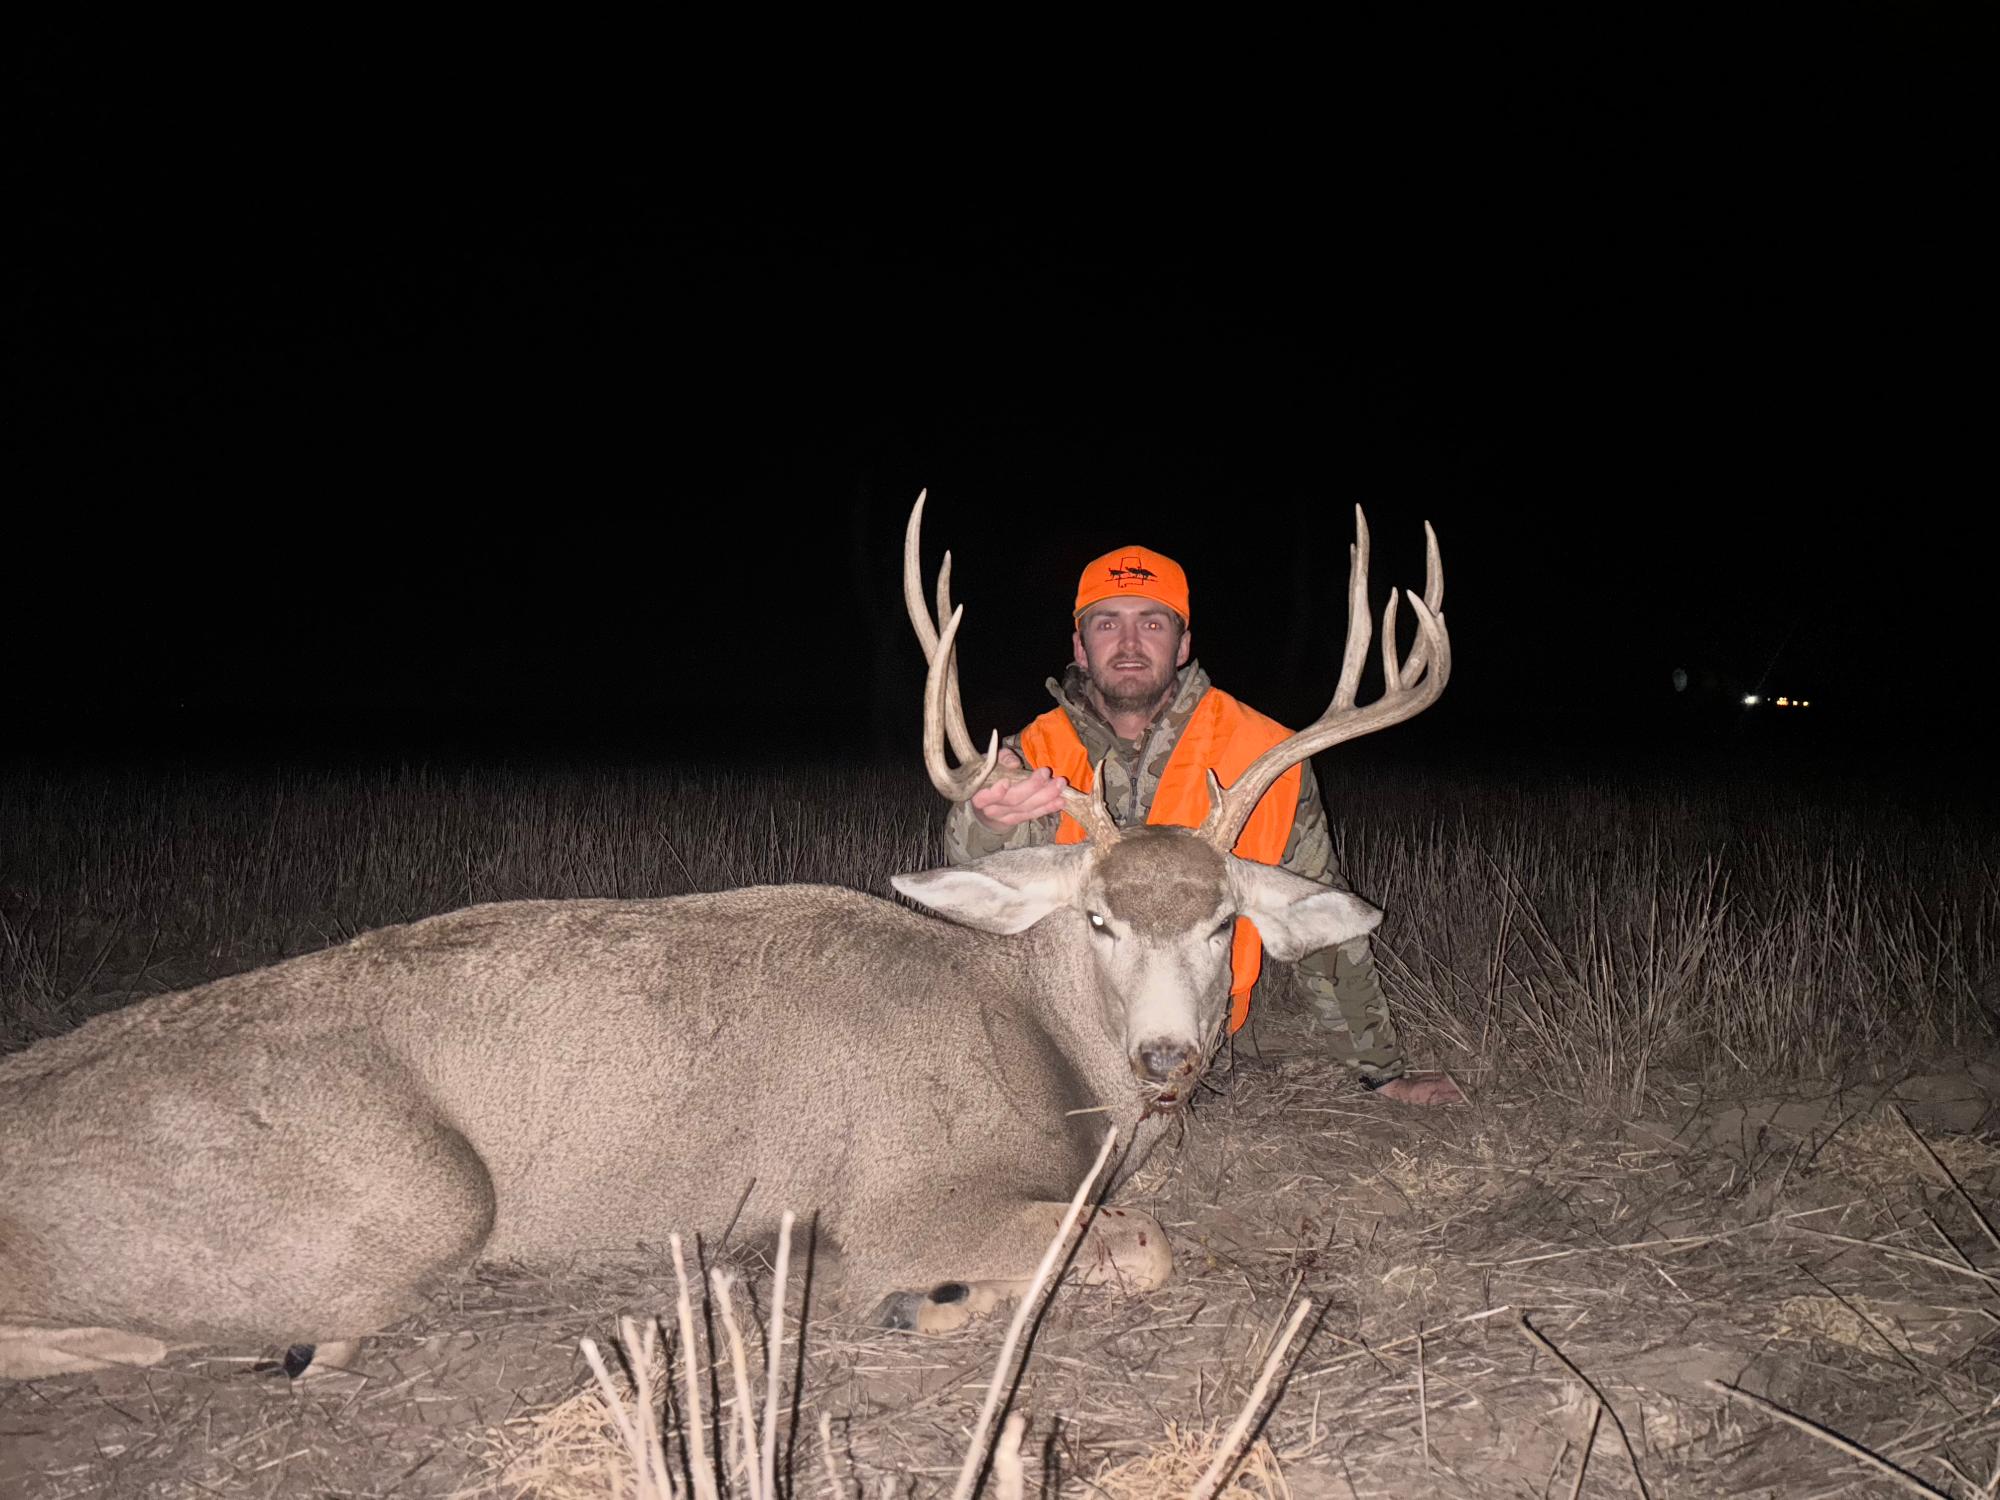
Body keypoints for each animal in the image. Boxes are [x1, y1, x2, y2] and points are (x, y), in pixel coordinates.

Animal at [0, 494, 1447, 1379]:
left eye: (1221, 919)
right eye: (1095, 914)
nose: (1164, 1060)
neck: (1043, 1056)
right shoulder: (897, 1190)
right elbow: (1133, 1246)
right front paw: (933, 1299)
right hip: (411, 1197)